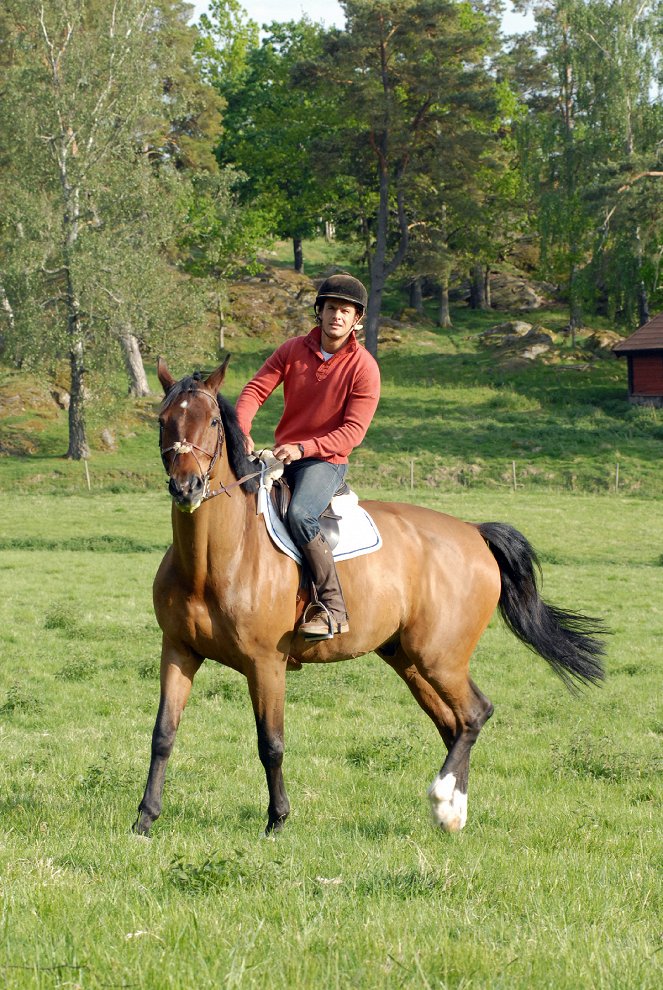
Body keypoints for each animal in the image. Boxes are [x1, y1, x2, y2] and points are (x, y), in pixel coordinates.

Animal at [134, 356, 608, 836]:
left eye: (211, 421)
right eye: (163, 420)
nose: (187, 487)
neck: (214, 560)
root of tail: (474, 533)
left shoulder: (265, 663)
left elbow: (271, 743)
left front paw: (277, 821)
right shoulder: (178, 650)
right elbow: (162, 735)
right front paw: (145, 818)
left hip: (440, 658)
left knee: (475, 714)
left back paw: (443, 802)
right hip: (410, 660)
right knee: (454, 724)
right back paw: (453, 814)